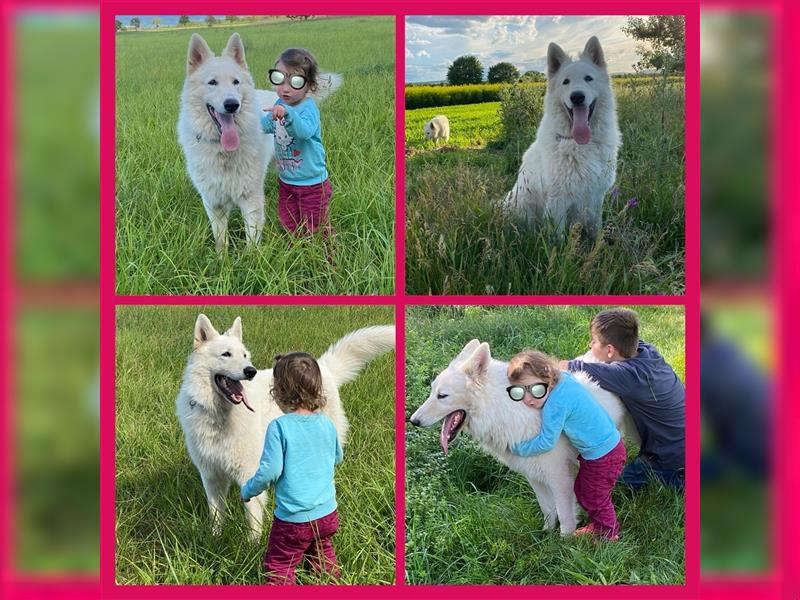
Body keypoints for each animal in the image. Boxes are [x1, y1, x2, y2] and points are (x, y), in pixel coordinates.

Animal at [178, 34, 340, 250]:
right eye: (212, 82)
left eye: (235, 82)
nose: (232, 105)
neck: (223, 150)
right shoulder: (213, 204)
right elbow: (221, 241)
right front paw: (222, 259)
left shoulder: (251, 200)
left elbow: (252, 243)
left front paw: (251, 258)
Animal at [178, 314, 396, 540]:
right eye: (226, 354)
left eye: (245, 355)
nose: (250, 371)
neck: (219, 414)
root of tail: (323, 368)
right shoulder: (211, 477)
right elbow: (216, 515)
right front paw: (214, 538)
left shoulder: (248, 474)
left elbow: (252, 517)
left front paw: (252, 544)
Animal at [410, 342, 636, 536]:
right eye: (432, 391)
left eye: (442, 396)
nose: (413, 421)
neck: (505, 407)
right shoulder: (533, 475)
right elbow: (547, 509)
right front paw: (546, 535)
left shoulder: (559, 477)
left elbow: (565, 516)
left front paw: (565, 544)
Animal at [504, 37, 620, 239]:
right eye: (566, 82)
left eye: (588, 78)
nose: (577, 97)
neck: (580, 143)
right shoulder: (557, 200)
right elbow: (557, 238)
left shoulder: (595, 196)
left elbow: (595, 228)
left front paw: (598, 245)